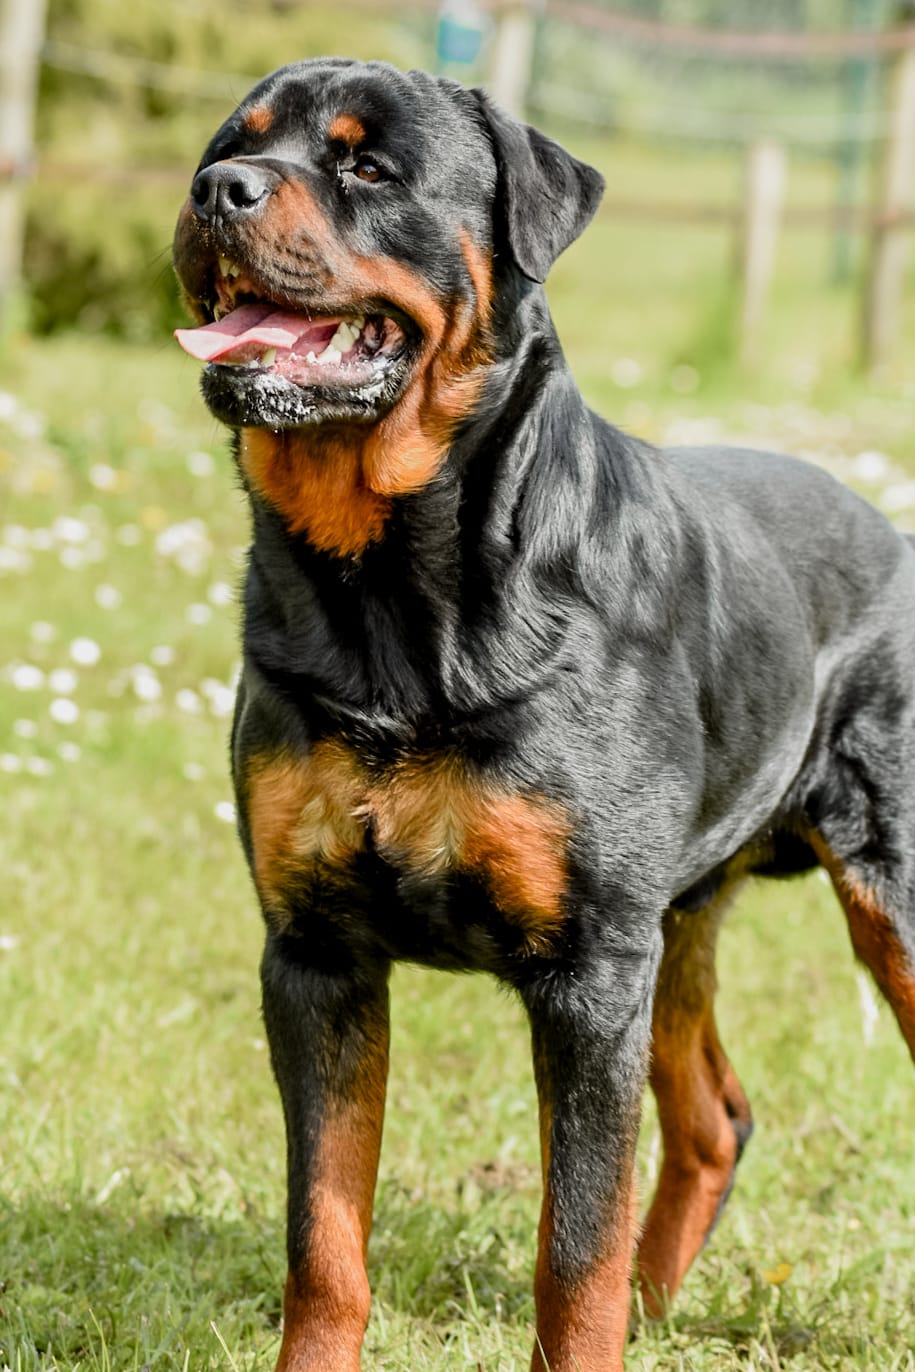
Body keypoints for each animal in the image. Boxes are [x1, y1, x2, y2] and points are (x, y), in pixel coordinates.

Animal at [173, 56, 915, 1372]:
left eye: (369, 166)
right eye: (231, 144)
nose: (218, 189)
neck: (394, 603)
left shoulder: (586, 972)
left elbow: (574, 1246)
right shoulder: (314, 953)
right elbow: (324, 1236)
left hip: (874, 891)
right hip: (675, 922)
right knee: (713, 1116)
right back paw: (659, 1312)